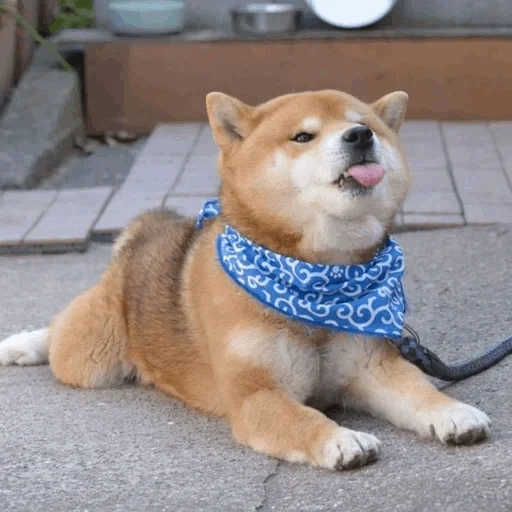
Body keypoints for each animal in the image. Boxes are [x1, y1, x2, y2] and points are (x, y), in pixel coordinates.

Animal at [0, 89, 492, 472]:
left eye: (364, 124)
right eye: (303, 136)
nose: (360, 136)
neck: (319, 279)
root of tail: (143, 235)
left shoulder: (375, 368)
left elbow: (420, 391)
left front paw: (454, 413)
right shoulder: (256, 394)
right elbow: (304, 420)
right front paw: (341, 439)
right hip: (90, 357)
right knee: (61, 331)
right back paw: (23, 344)